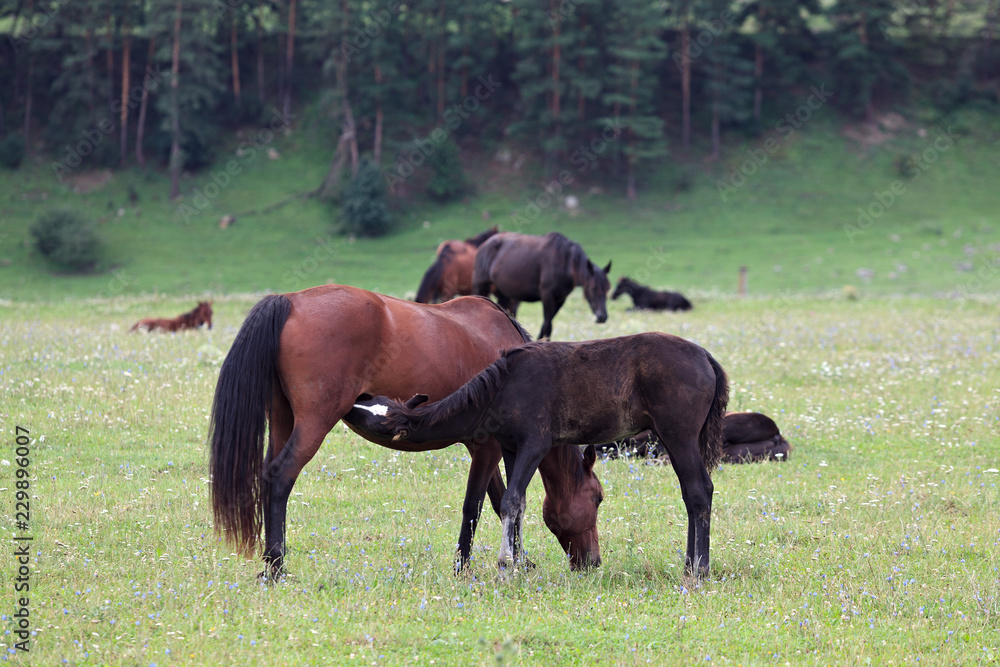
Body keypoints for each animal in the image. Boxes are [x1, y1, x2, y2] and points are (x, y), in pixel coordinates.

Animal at [209, 288, 600, 580]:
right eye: (597, 498)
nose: (593, 562)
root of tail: (291, 300)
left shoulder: (481, 449)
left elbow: (499, 500)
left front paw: (519, 559)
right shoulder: (489, 447)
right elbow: (478, 505)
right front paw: (464, 566)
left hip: (283, 420)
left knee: (266, 474)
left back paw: (267, 563)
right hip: (313, 425)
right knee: (280, 477)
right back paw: (276, 567)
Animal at [348, 332, 732, 576]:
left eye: (373, 418)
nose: (351, 403)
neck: (504, 386)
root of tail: (706, 357)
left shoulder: (535, 444)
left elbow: (511, 500)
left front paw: (506, 565)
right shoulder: (510, 447)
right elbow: (517, 504)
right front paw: (518, 562)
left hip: (679, 436)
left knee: (700, 490)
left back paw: (699, 569)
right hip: (673, 439)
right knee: (689, 493)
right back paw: (689, 563)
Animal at [470, 234, 608, 340]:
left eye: (607, 289)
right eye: (593, 288)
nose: (602, 317)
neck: (565, 262)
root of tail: (484, 246)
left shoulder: (560, 299)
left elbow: (545, 325)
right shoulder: (547, 294)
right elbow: (548, 326)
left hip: (504, 294)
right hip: (482, 287)